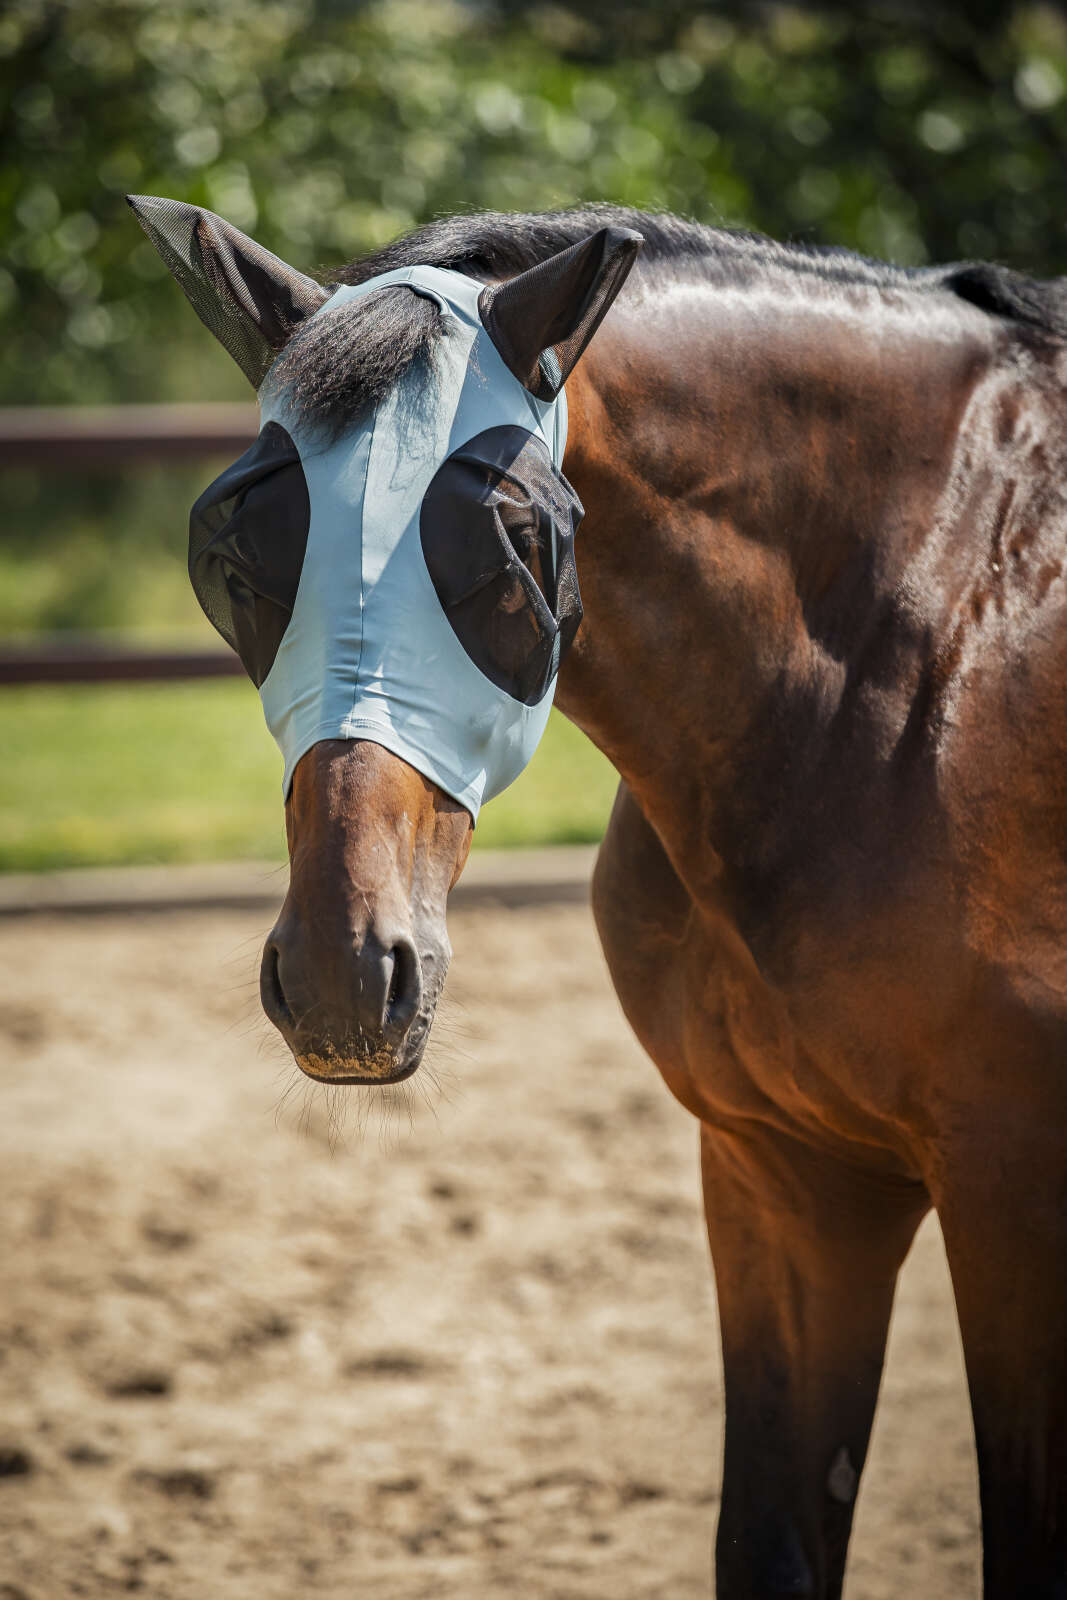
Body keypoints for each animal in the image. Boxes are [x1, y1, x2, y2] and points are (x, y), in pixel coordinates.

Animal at [131, 194, 1067, 1597]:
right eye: (235, 552)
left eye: (518, 538)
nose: (346, 975)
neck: (922, 661)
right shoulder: (781, 1177)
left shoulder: (1012, 1203)